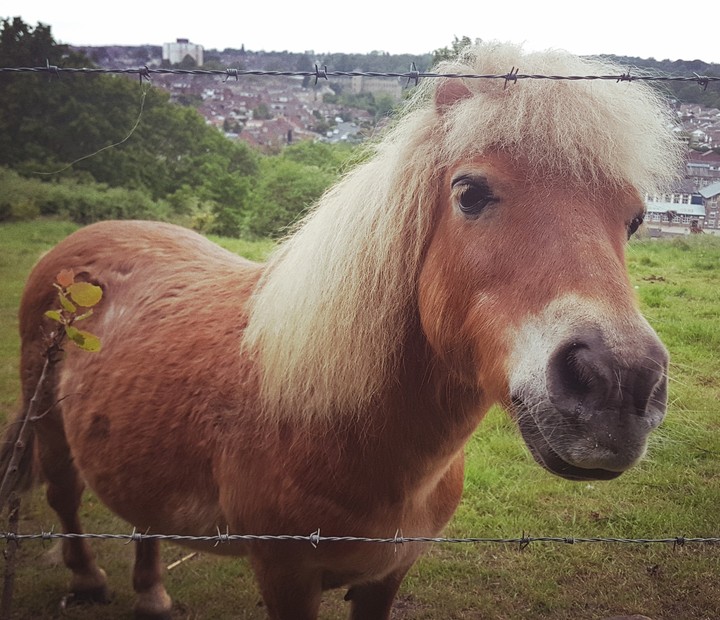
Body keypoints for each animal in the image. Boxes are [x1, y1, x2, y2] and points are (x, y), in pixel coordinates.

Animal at [4, 42, 681, 619]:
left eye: (635, 218)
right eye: (470, 191)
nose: (617, 384)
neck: (338, 424)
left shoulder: (386, 578)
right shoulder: (286, 578)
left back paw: (151, 594)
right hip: (48, 424)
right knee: (64, 495)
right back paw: (88, 579)